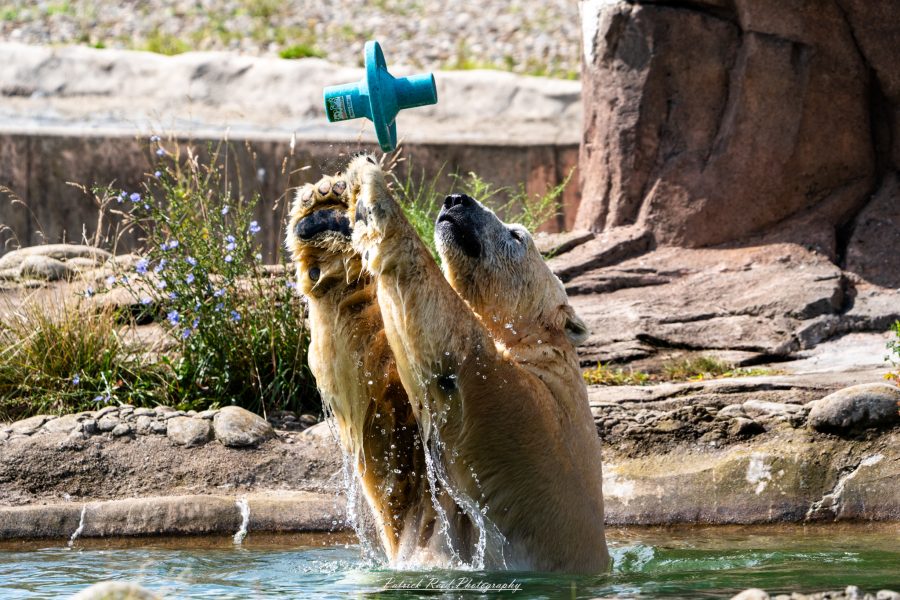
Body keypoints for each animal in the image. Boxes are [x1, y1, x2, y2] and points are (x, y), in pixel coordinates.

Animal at [345, 154, 610, 574]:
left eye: (516, 235)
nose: (456, 199)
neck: (534, 344)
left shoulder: (523, 412)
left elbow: (452, 348)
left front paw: (371, 182)